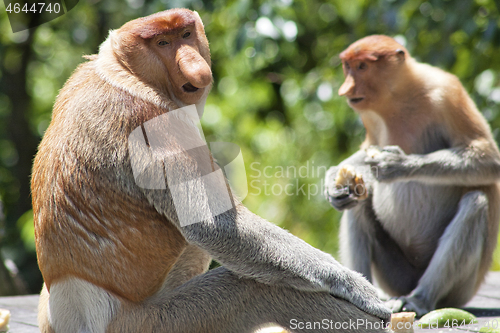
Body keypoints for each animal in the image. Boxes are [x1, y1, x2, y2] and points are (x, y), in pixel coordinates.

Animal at [32, 9, 390, 330]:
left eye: (186, 35)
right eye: (162, 43)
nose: (194, 64)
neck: (122, 72)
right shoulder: (155, 124)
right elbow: (212, 226)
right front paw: (354, 285)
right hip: (147, 323)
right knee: (255, 288)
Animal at [324, 33, 500, 316]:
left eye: (362, 67)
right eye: (347, 67)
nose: (345, 90)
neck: (398, 96)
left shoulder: (447, 92)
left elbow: (486, 157)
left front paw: (396, 164)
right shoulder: (370, 119)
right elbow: (367, 150)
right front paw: (334, 184)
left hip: (460, 288)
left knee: (476, 203)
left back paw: (419, 299)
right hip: (395, 276)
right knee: (358, 206)